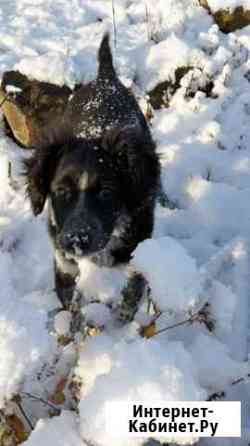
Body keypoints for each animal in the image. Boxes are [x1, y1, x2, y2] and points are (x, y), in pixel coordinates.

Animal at [23, 33, 160, 308]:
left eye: (107, 193)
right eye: (60, 191)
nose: (77, 241)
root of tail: (105, 77)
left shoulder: (136, 255)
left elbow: (129, 299)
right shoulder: (62, 261)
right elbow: (71, 306)